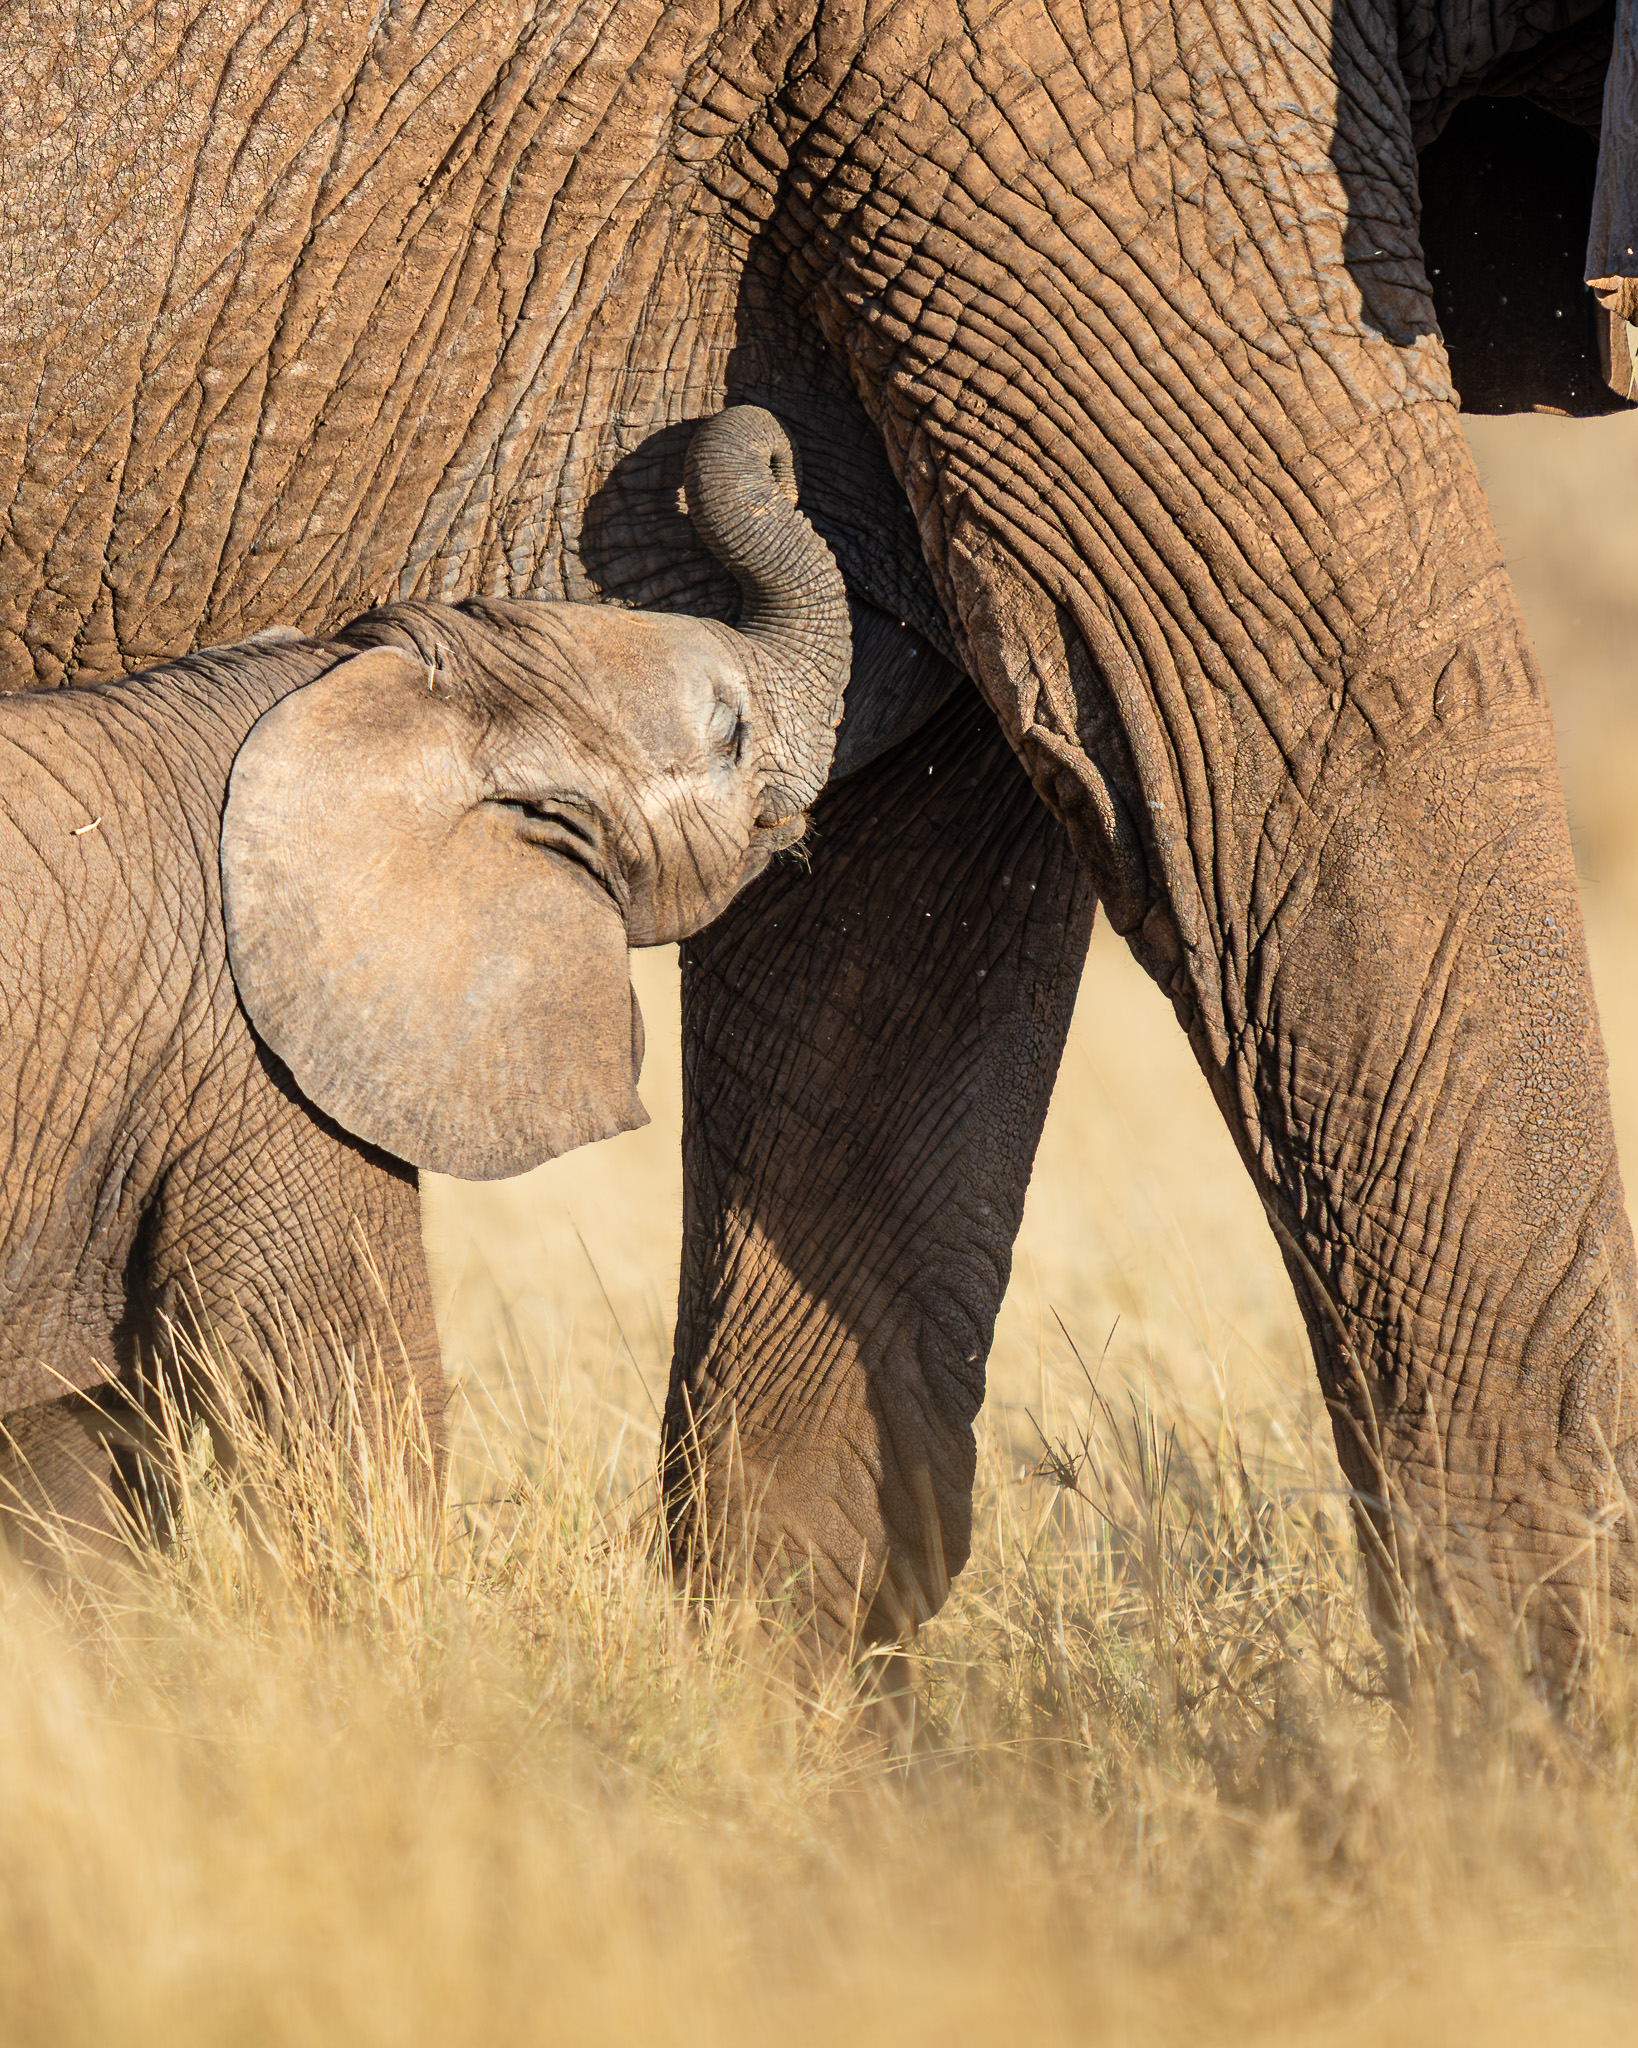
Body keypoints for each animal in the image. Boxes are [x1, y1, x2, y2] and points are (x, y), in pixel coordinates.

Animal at [0, 406, 848, 1563]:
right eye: (729, 734)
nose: (768, 442)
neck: (374, 685)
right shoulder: (252, 1058)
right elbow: (340, 1373)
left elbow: (61, 1462)